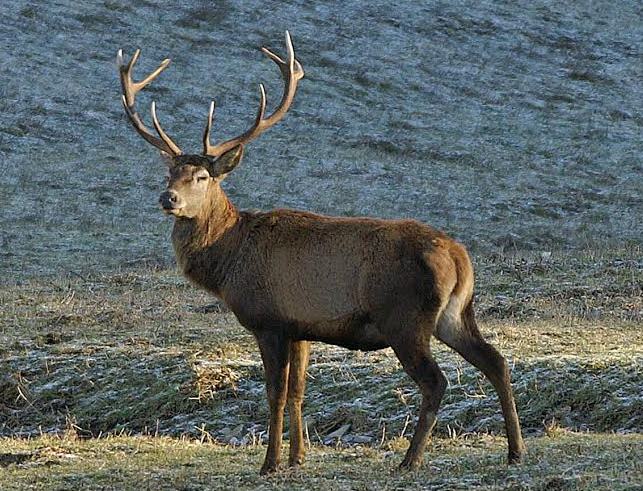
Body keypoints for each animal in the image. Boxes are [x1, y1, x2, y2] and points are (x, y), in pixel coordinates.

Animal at [117, 31, 528, 476]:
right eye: (169, 173)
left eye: (202, 176)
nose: (168, 198)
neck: (229, 262)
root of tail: (459, 257)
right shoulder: (301, 327)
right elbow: (299, 391)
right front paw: (299, 456)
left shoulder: (269, 321)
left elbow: (276, 393)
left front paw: (270, 463)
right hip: (453, 314)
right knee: (497, 361)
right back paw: (514, 450)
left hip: (404, 317)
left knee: (436, 380)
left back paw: (411, 459)